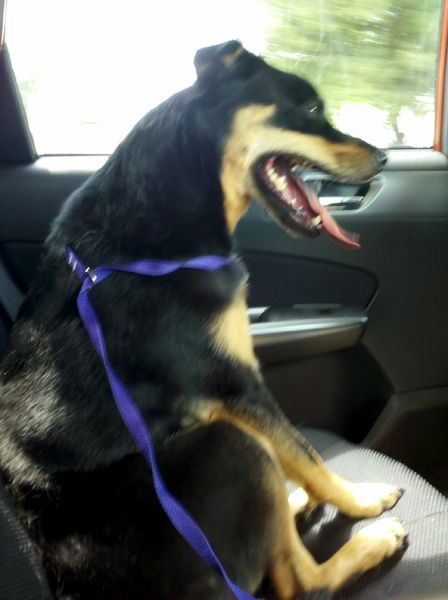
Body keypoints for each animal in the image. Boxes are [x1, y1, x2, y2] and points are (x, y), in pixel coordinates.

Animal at [0, 43, 406, 600]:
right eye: (310, 108)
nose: (384, 158)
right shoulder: (234, 384)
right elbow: (311, 457)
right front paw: (360, 499)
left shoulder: (225, 396)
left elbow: (298, 455)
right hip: (228, 445)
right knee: (300, 581)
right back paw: (367, 540)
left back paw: (293, 503)